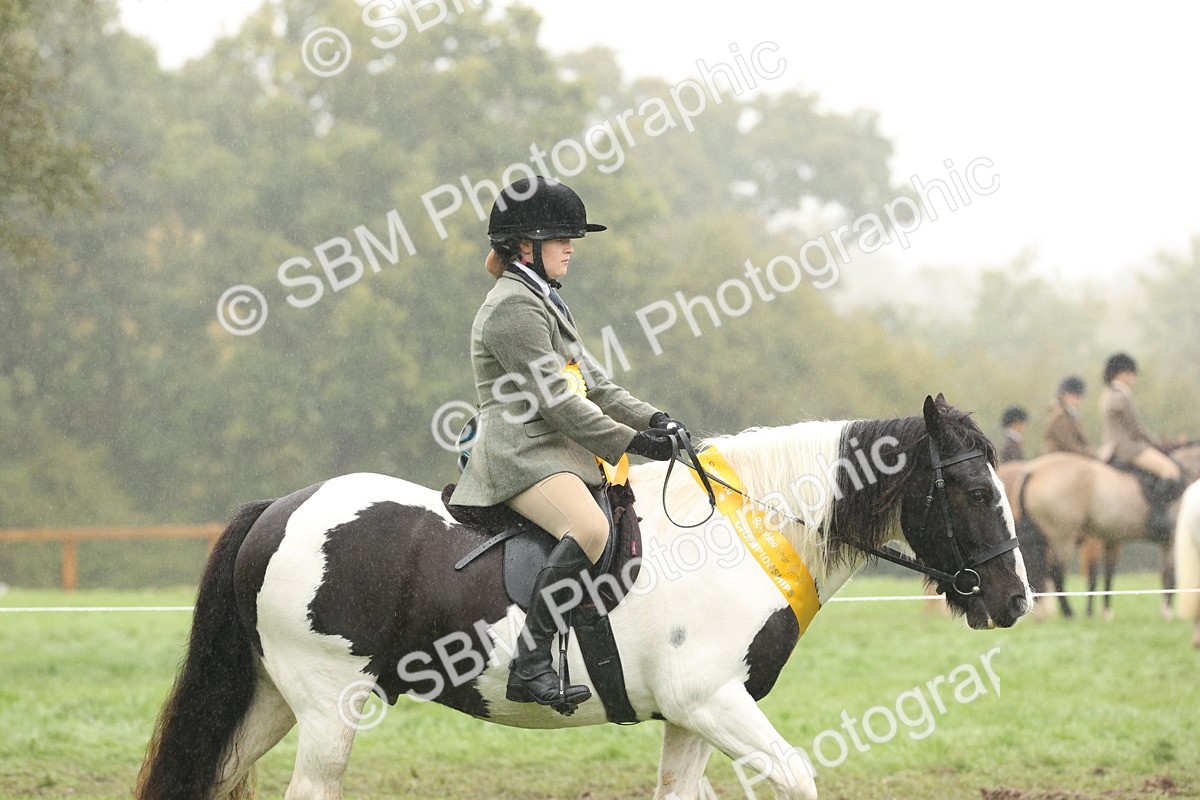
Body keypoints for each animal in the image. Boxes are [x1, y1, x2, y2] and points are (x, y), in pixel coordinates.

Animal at [136, 395, 1031, 800]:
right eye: (975, 493)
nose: (1016, 603)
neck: (747, 533)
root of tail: (279, 509)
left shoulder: (692, 715)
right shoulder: (712, 700)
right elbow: (796, 775)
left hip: (269, 699)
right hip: (330, 708)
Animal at [1000, 445, 1200, 619]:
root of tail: (1031, 470)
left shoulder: (1113, 540)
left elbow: (1109, 574)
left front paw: (1106, 611)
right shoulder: (1171, 540)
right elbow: (1170, 575)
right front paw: (1166, 611)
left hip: (1040, 538)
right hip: (1062, 537)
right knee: (1056, 571)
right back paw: (1067, 612)